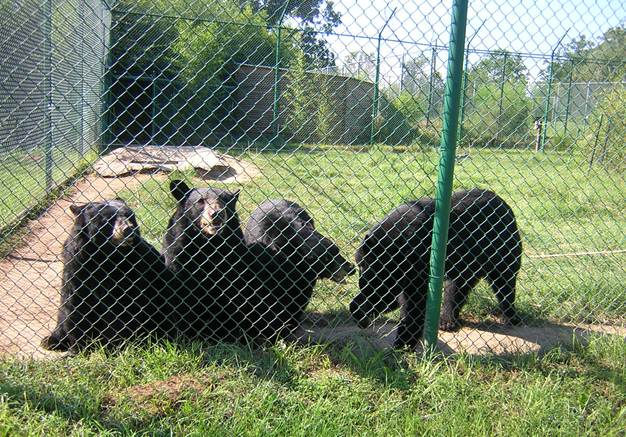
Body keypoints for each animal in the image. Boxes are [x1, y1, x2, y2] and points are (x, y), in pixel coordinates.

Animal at [41, 199, 169, 352]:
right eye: (108, 219)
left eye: (129, 216)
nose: (128, 229)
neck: (104, 255)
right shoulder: (75, 264)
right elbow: (75, 303)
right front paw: (75, 346)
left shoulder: (132, 269)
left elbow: (120, 308)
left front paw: (112, 346)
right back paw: (51, 340)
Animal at [241, 199, 354, 328]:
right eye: (326, 258)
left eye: (337, 251)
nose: (351, 268)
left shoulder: (305, 279)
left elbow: (300, 298)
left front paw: (291, 323)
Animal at [348, 189, 520, 350]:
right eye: (359, 264)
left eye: (366, 265)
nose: (361, 281)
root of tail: (503, 203)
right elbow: (388, 297)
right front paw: (359, 309)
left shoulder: (415, 267)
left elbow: (412, 305)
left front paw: (402, 346)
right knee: (456, 288)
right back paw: (447, 321)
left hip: (504, 252)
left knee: (505, 283)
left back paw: (510, 317)